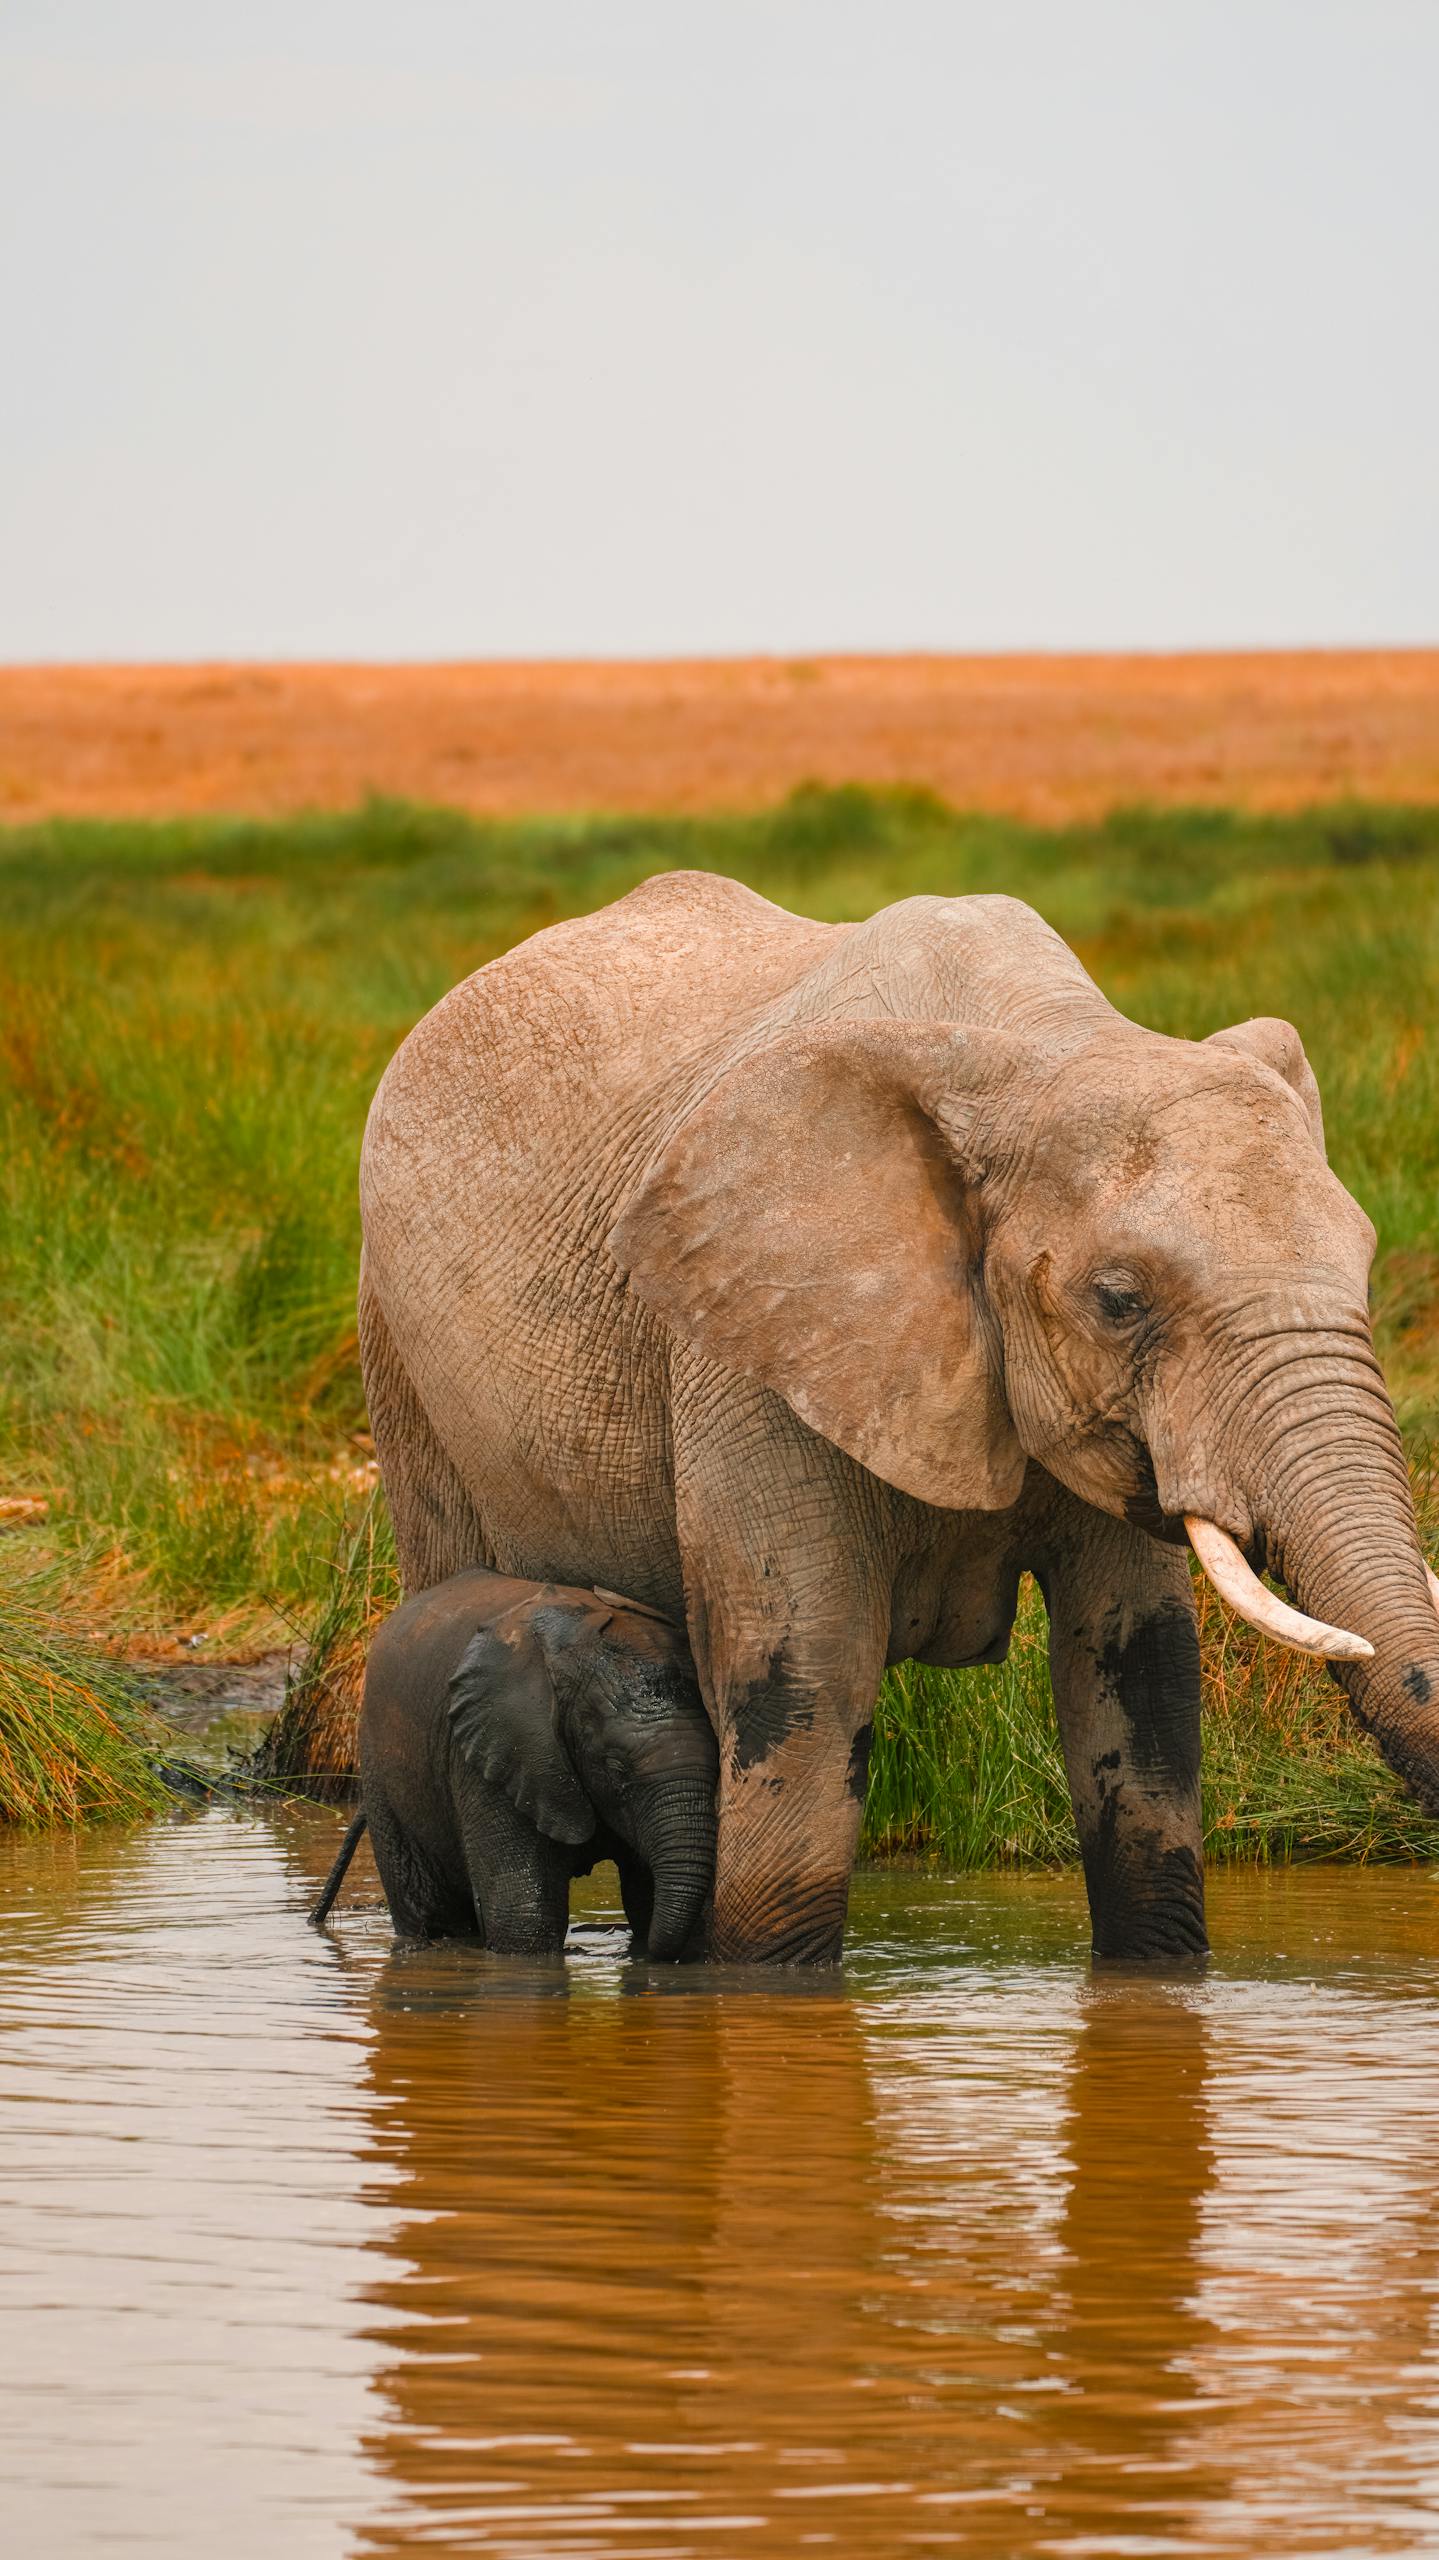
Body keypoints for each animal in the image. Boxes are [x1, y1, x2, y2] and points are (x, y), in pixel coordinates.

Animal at [308, 1569, 718, 1959]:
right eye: (616, 1770)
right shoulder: (495, 1749)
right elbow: (524, 1919)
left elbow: (644, 1899)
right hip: (380, 1763)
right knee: (432, 1913)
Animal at [356, 872, 1439, 1964]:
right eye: (1117, 1299)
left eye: (1362, 1267)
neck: (1035, 1046)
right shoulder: (751, 1345)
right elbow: (805, 1680)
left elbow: (1139, 1676)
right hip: (397, 1345)